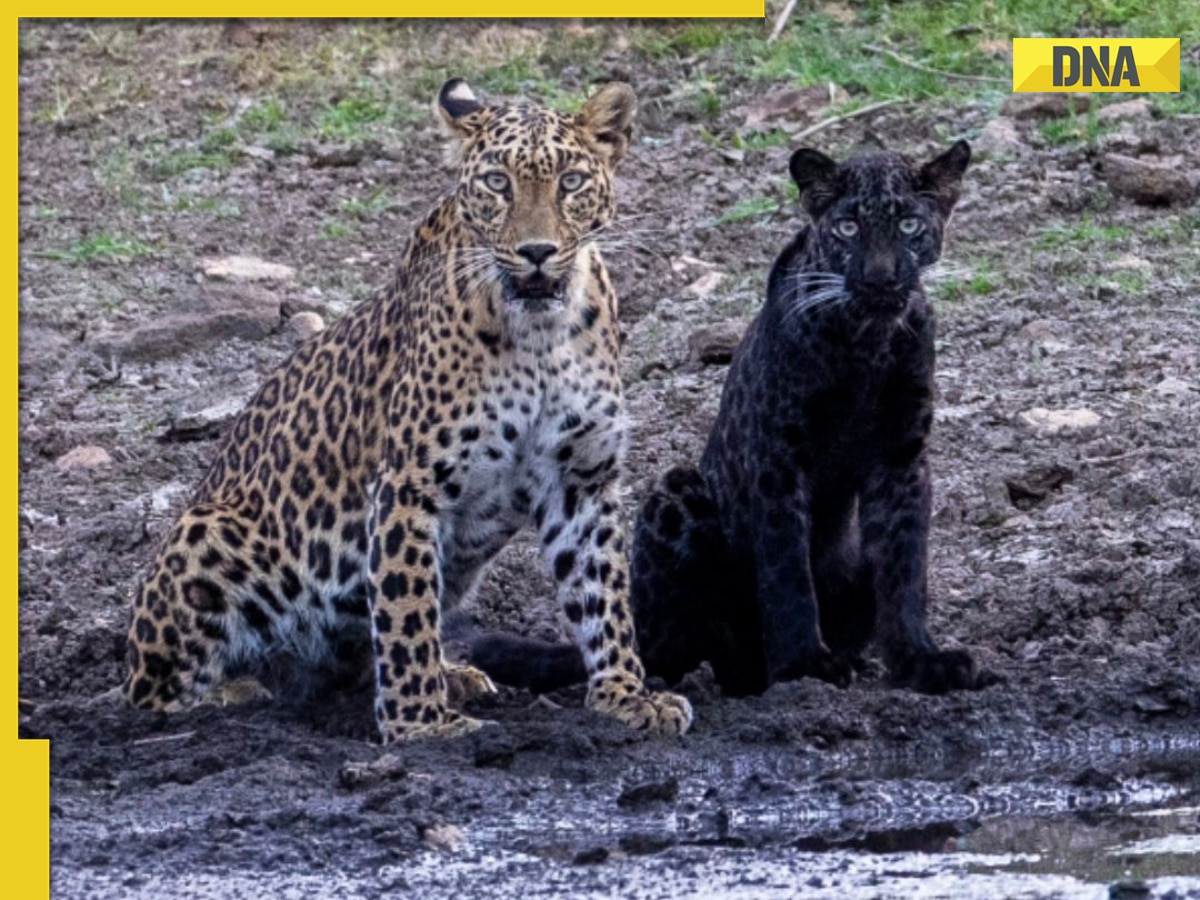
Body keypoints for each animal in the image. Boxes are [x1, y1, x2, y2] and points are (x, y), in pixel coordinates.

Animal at [123, 77, 696, 744]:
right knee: (151, 693)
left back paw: (455, 675)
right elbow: (406, 610)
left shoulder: (580, 477)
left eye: (571, 181)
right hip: (208, 533)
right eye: (497, 182)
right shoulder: (408, 484)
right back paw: (236, 695)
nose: (536, 251)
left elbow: (602, 592)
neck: (539, 338)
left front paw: (625, 695)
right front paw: (421, 726)